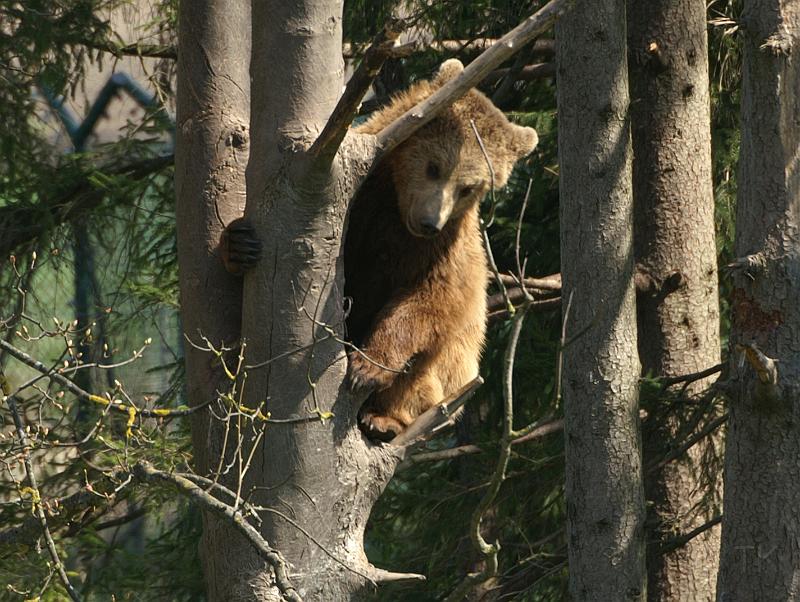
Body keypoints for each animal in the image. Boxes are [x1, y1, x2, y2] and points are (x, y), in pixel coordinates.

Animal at [225, 59, 536, 440]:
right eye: (434, 166)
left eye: (468, 187)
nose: (429, 222)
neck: (395, 207)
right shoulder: (360, 206)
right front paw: (239, 243)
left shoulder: (444, 250)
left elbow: (432, 300)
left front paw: (367, 367)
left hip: (455, 372)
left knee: (429, 368)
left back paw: (384, 419)